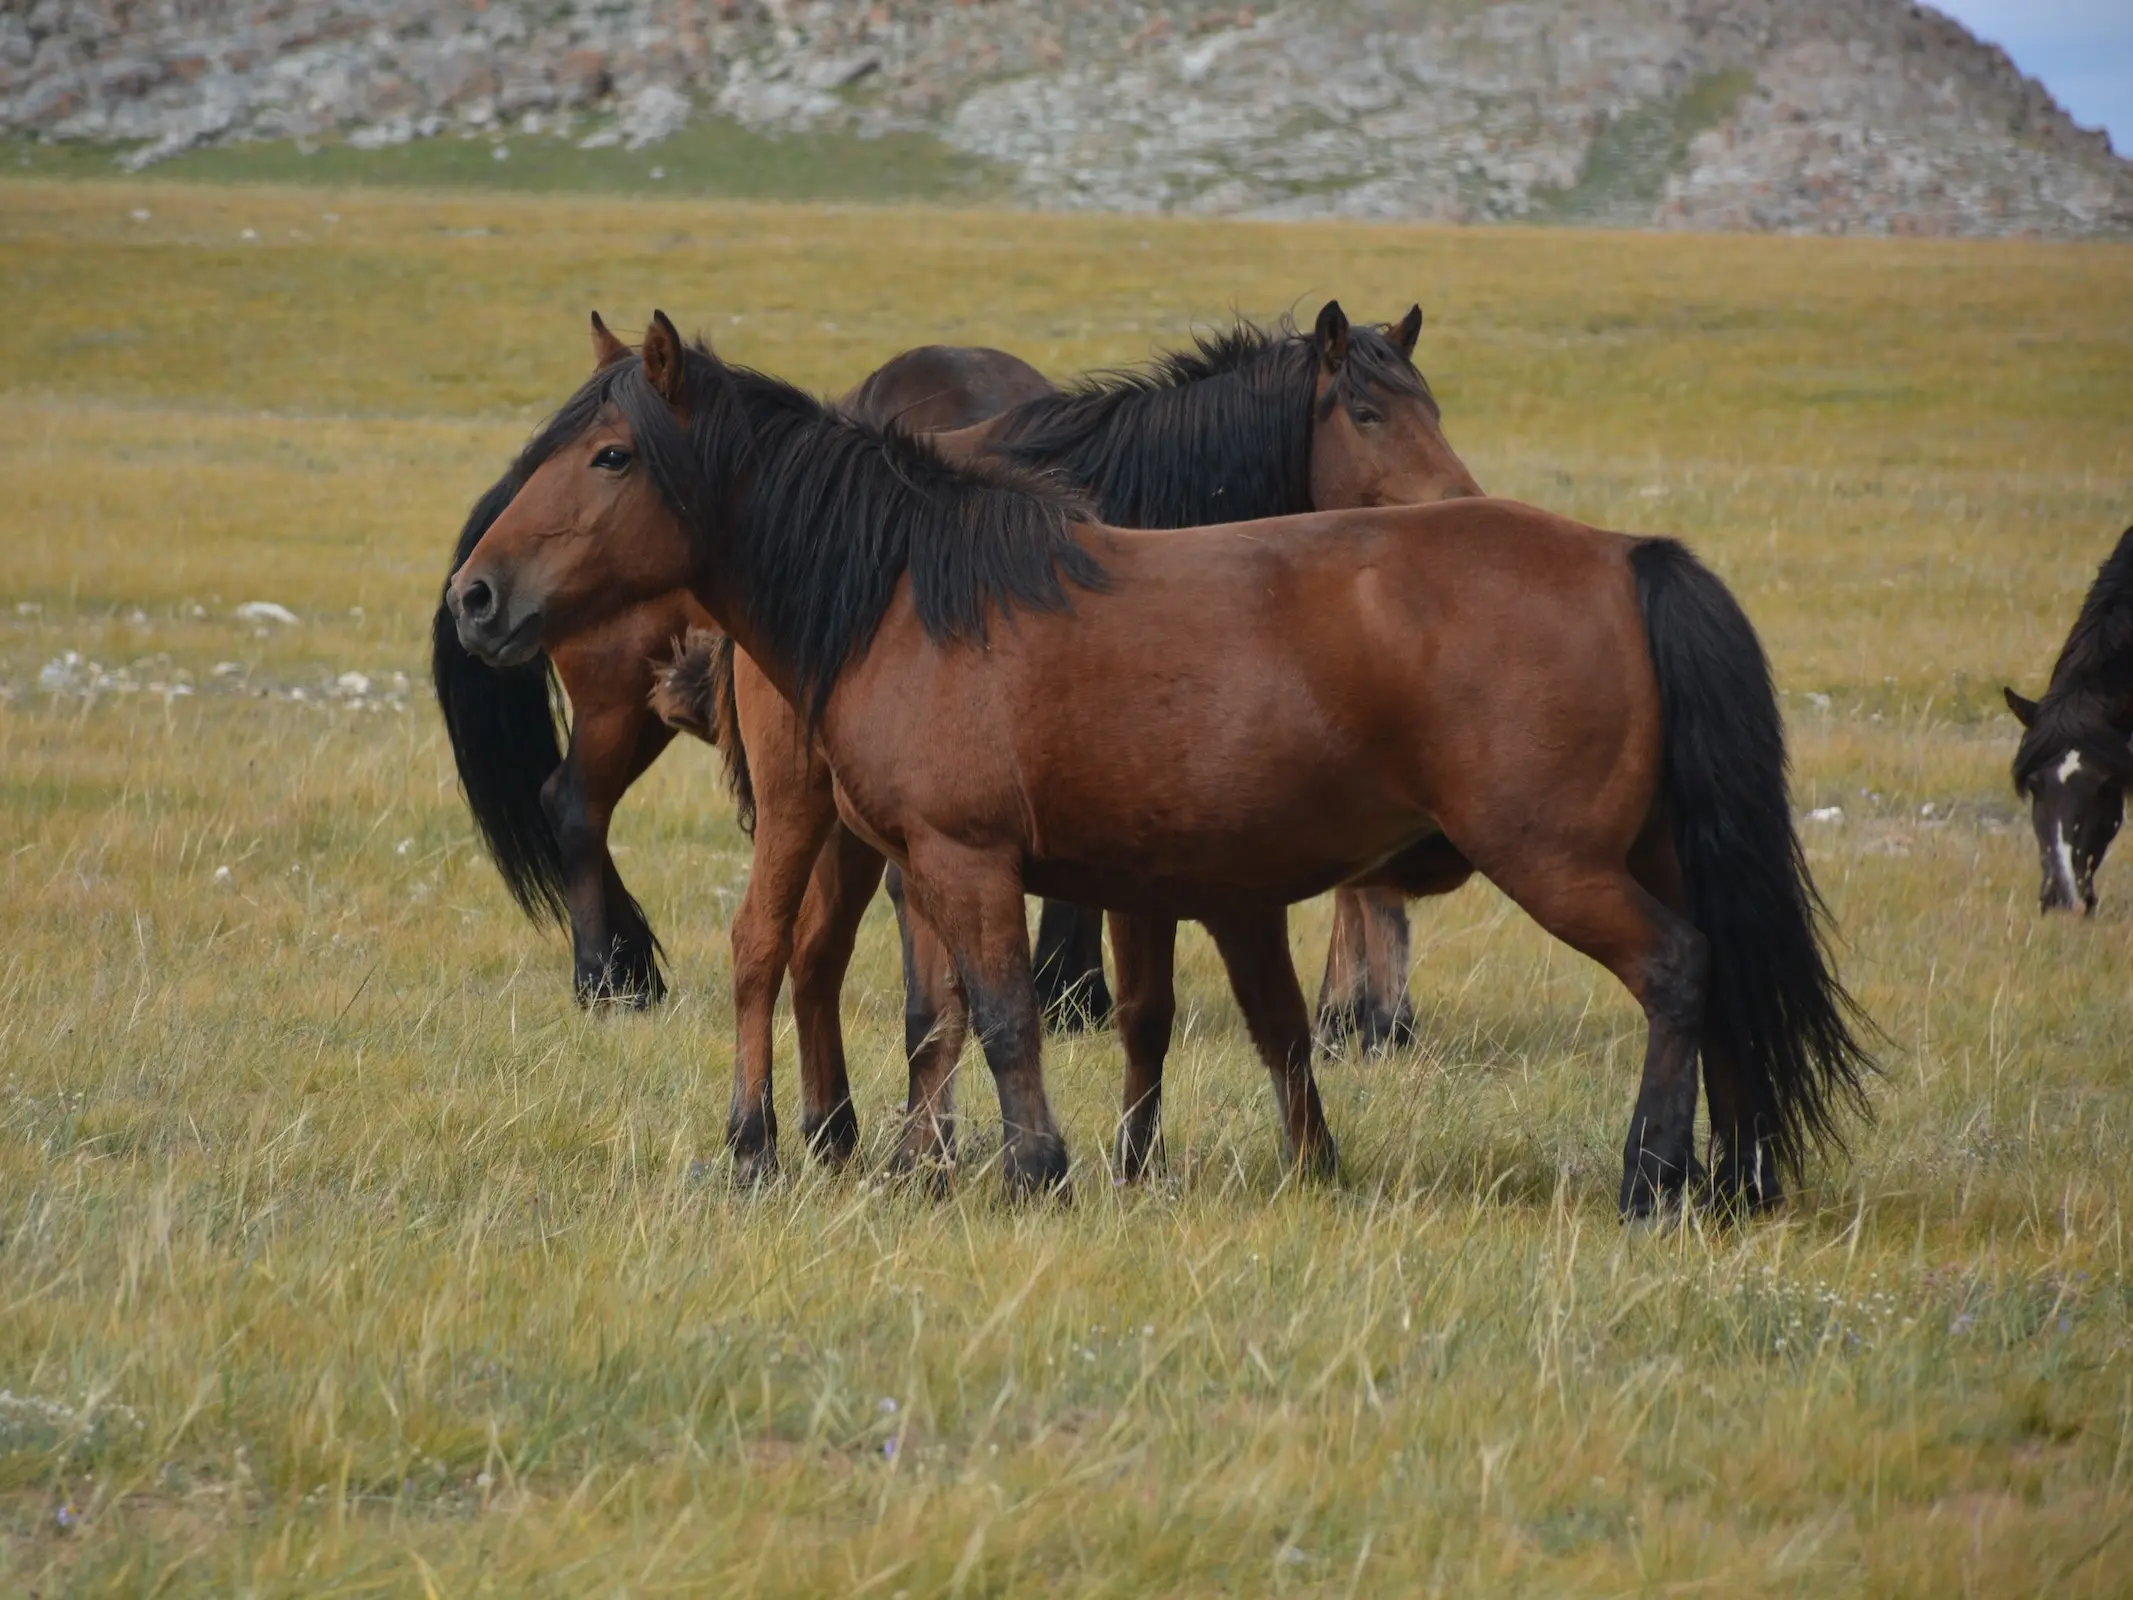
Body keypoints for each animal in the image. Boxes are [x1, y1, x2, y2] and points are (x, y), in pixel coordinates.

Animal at [445, 309, 1868, 1211]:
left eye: (612, 454)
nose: (476, 595)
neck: (902, 586)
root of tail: (1631, 560)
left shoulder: (970, 858)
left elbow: (1005, 1015)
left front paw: (1036, 1173)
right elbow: (1020, 1014)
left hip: (1560, 862)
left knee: (1678, 971)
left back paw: (1654, 1176)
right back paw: (1735, 1177)